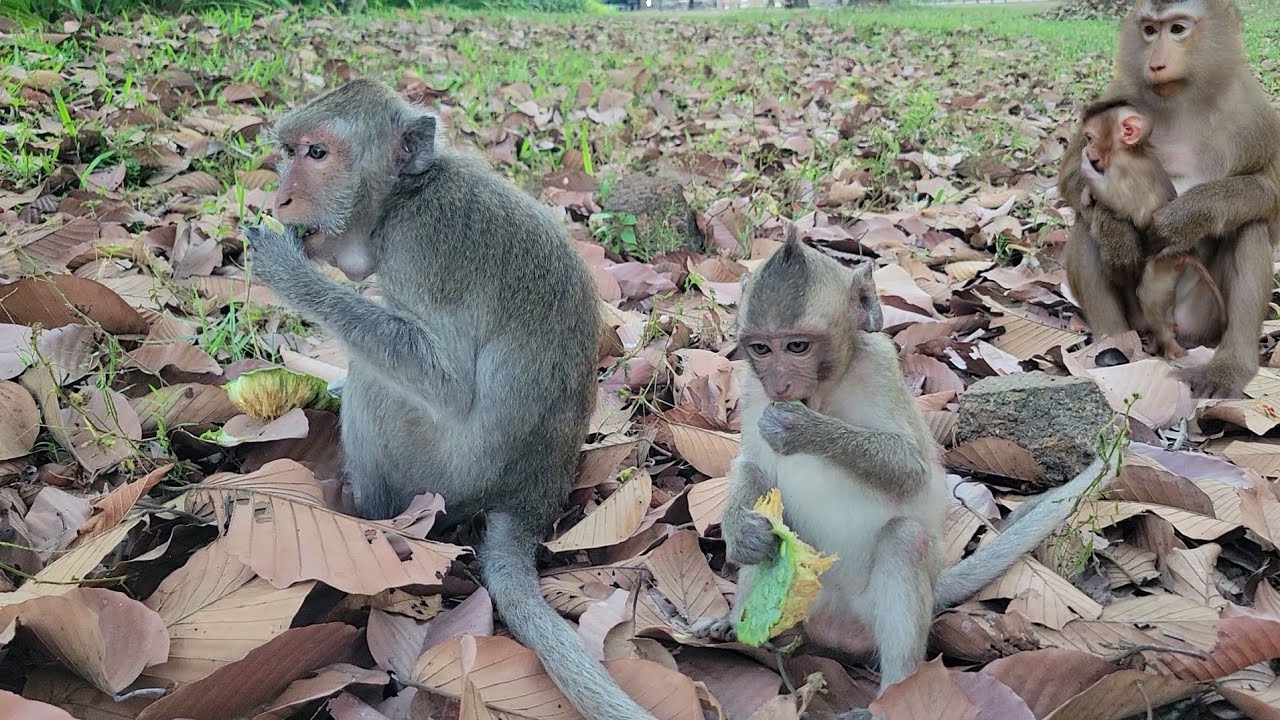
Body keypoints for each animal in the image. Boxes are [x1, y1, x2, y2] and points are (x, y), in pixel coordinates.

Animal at [241, 78, 658, 720]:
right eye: (288, 152)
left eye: (317, 153)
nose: (282, 197)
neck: (404, 197)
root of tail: (533, 492)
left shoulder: (422, 252)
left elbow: (448, 382)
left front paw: (290, 275)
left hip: (446, 474)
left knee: (379, 383)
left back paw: (368, 517)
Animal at [691, 229, 1117, 720]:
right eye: (761, 348)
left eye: (797, 346)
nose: (780, 385)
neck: (826, 390)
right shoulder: (750, 384)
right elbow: (753, 467)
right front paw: (742, 533)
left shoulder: (880, 367)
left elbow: (912, 470)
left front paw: (802, 429)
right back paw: (735, 620)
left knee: (905, 541)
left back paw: (891, 694)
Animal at [1077, 99, 1228, 359]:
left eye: (1089, 137)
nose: (1088, 150)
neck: (1135, 151)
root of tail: (1185, 252)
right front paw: (1087, 191)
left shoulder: (1122, 166)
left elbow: (1119, 203)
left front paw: (1086, 172)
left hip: (1163, 267)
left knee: (1149, 294)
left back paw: (1169, 344)